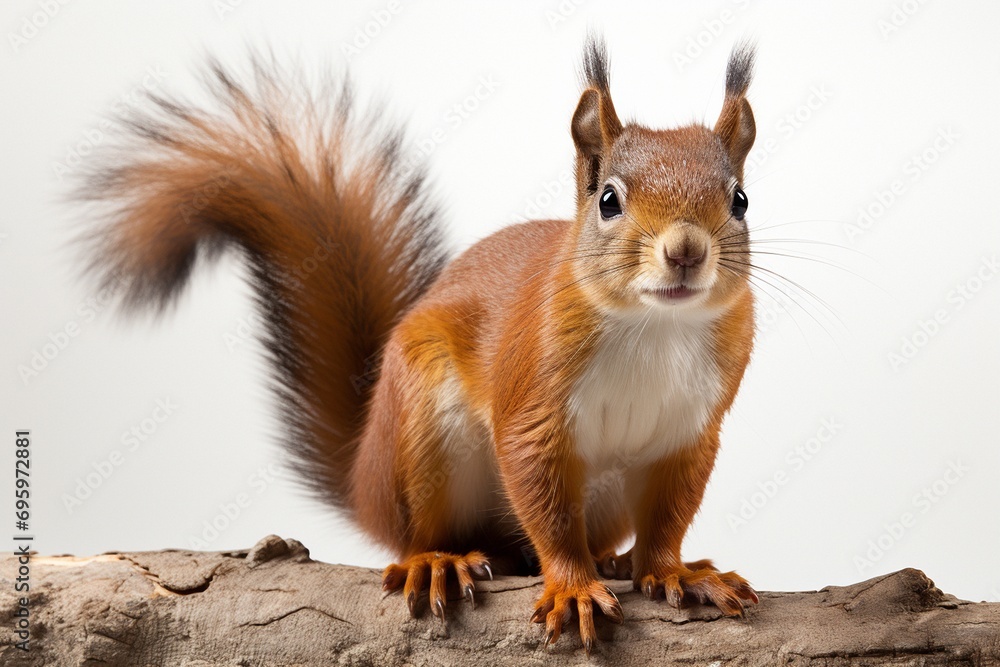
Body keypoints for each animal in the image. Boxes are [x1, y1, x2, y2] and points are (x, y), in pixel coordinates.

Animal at [78, 36, 760, 652]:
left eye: (740, 199)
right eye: (609, 200)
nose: (685, 250)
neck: (656, 326)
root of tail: (364, 481)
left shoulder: (691, 431)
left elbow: (669, 516)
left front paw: (673, 571)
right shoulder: (531, 400)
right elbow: (544, 501)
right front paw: (571, 585)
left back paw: (612, 562)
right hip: (421, 433)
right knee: (426, 533)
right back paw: (438, 561)